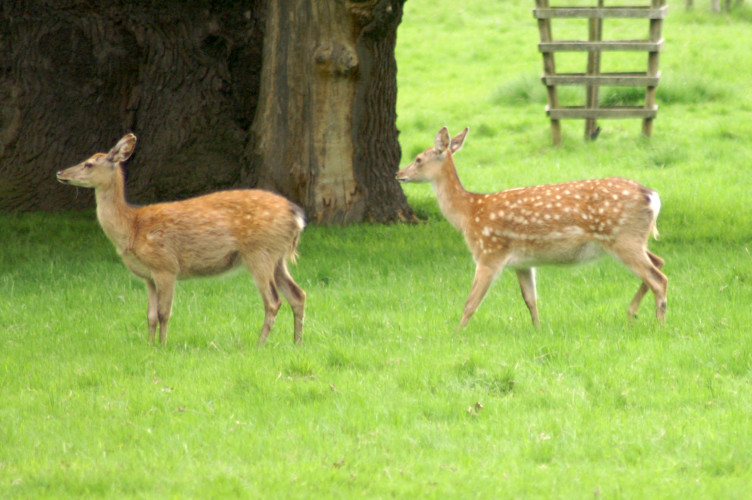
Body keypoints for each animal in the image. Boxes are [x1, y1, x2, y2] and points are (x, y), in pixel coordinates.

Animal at [56, 134, 306, 347]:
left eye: (89, 164)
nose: (60, 173)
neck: (131, 228)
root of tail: (297, 216)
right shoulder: (148, 276)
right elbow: (149, 315)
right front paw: (150, 345)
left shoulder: (165, 265)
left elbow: (164, 313)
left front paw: (163, 345)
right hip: (277, 257)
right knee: (298, 294)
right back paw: (296, 343)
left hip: (259, 252)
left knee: (273, 300)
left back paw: (260, 344)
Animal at [396, 127, 667, 329]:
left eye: (418, 158)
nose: (399, 174)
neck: (469, 213)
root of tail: (652, 196)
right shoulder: (523, 262)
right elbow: (530, 300)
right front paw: (538, 329)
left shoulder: (489, 253)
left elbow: (470, 303)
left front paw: (456, 334)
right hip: (634, 238)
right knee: (659, 262)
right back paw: (632, 313)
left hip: (623, 238)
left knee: (658, 278)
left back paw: (659, 324)